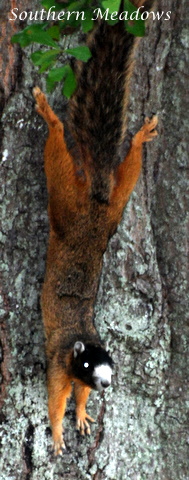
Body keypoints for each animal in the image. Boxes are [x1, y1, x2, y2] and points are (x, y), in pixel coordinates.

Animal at [32, 0, 157, 456]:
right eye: (87, 362)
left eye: (111, 366)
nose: (106, 384)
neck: (79, 342)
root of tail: (97, 198)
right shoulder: (56, 363)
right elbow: (55, 398)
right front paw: (56, 433)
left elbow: (78, 397)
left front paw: (84, 414)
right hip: (66, 199)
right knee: (57, 151)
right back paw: (49, 116)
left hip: (115, 206)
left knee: (129, 170)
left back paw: (140, 138)